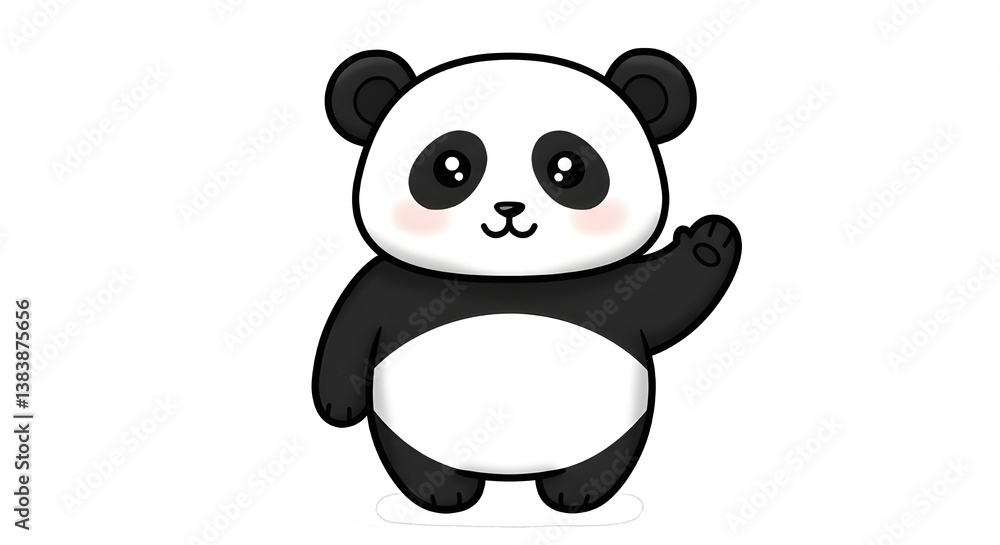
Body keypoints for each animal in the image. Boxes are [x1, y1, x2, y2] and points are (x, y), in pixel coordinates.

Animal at [313, 48, 742, 514]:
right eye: (450, 167)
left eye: (567, 168)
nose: (509, 208)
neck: (510, 278)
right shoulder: (391, 286)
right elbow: (352, 326)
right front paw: (337, 405)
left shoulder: (611, 288)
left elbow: (666, 297)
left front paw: (709, 242)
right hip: (408, 427)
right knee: (414, 456)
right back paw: (443, 494)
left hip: (610, 427)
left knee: (603, 457)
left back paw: (576, 493)